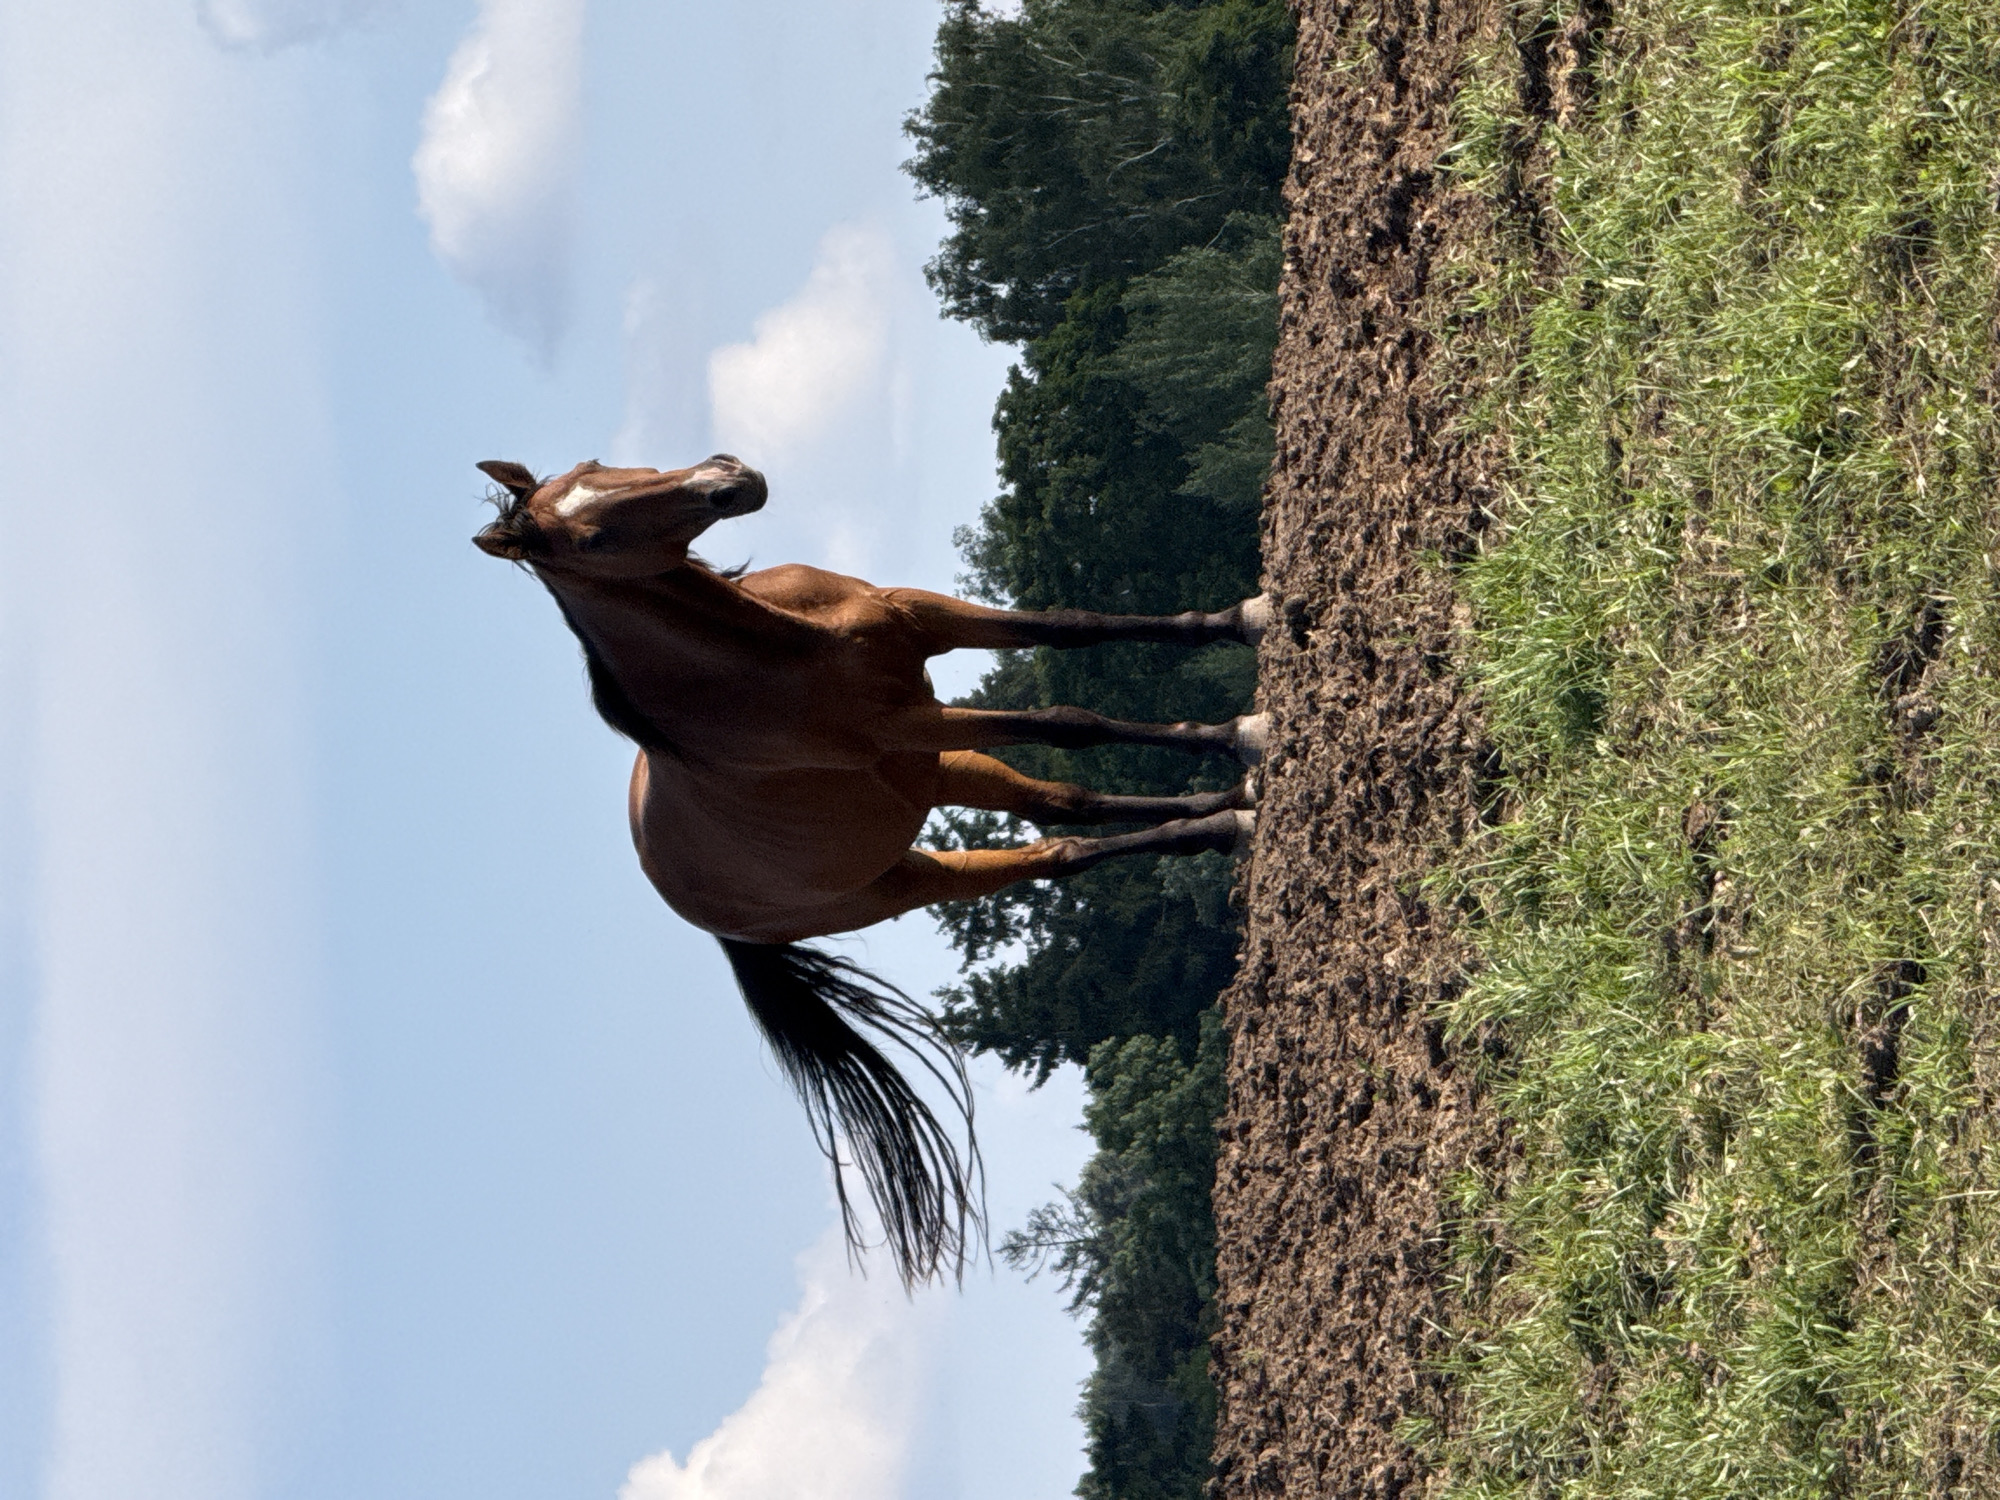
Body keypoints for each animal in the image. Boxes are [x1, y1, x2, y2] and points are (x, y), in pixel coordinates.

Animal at [473, 453, 1270, 1285]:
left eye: (592, 465)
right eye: (591, 539)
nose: (727, 478)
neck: (778, 650)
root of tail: (699, 912)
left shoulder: (923, 619)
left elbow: (1072, 626)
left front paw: (1252, 619)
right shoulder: (911, 723)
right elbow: (1068, 722)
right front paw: (1247, 731)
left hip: (939, 775)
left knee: (1063, 809)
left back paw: (1224, 811)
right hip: (917, 866)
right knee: (1054, 849)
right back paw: (1231, 811)